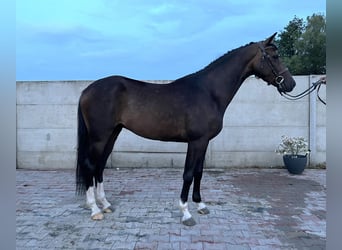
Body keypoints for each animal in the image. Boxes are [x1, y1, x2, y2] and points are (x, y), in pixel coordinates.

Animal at [76, 32, 296, 226]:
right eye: (274, 56)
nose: (291, 84)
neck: (208, 92)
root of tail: (87, 90)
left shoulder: (204, 141)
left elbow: (198, 172)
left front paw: (200, 205)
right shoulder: (196, 141)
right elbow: (188, 174)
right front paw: (186, 213)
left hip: (112, 134)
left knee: (100, 166)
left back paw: (105, 204)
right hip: (99, 137)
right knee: (90, 165)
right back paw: (94, 209)